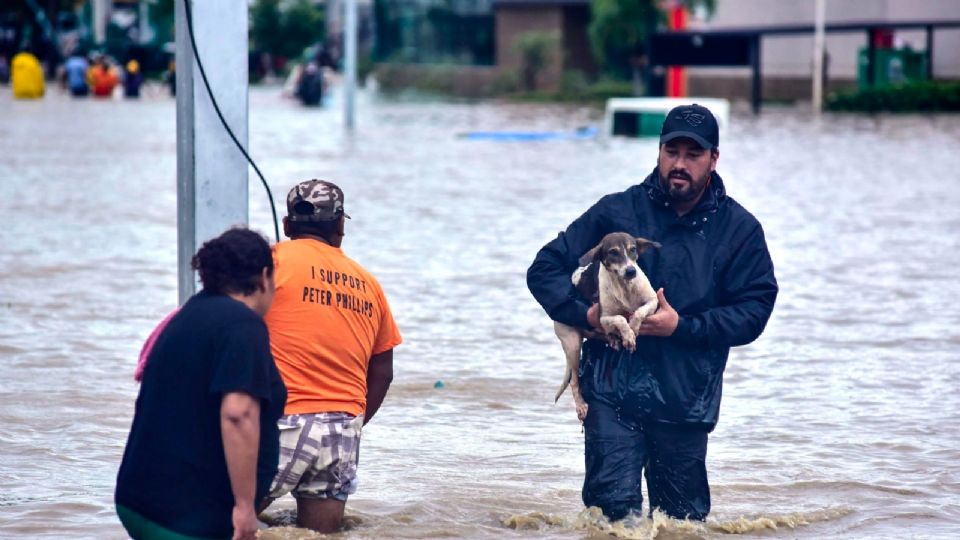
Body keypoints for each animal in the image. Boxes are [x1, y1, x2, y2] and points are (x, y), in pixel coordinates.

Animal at [556, 232, 660, 422]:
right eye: (613, 252)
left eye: (633, 249)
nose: (631, 271)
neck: (625, 288)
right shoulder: (603, 318)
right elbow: (620, 319)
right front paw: (628, 335)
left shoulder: (653, 301)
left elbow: (638, 312)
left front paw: (633, 328)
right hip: (572, 343)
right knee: (574, 381)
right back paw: (581, 406)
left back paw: (613, 338)